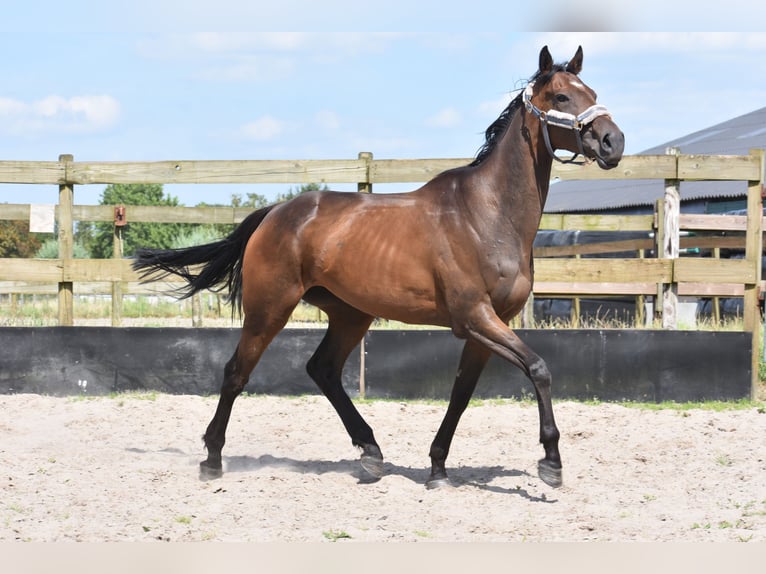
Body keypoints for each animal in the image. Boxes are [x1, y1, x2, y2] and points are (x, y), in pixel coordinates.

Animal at [134, 45, 624, 490]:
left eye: (593, 92)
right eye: (561, 96)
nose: (612, 141)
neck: (486, 214)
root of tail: (276, 212)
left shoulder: (488, 324)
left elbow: (461, 393)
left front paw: (438, 468)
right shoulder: (475, 317)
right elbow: (538, 368)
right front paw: (551, 463)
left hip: (351, 314)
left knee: (323, 370)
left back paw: (370, 453)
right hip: (269, 308)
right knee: (237, 372)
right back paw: (212, 460)